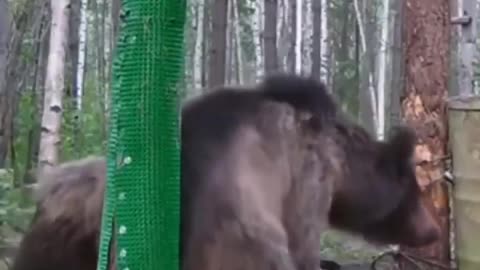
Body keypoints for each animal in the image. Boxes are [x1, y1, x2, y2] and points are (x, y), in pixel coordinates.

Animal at [11, 73, 438, 270]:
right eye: (415, 191)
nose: (433, 229)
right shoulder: (305, 185)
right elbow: (305, 245)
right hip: (240, 238)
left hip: (64, 229)